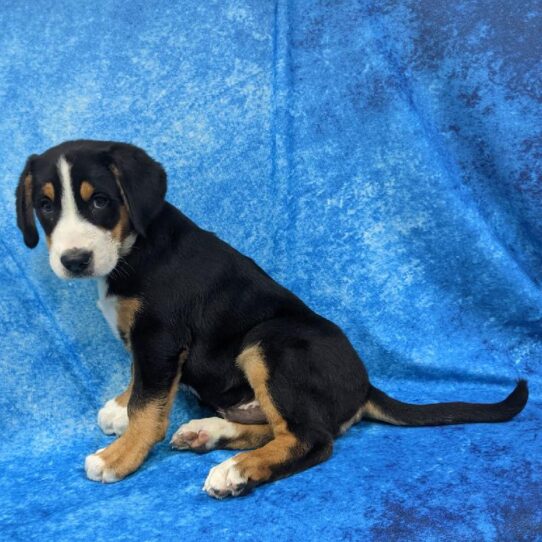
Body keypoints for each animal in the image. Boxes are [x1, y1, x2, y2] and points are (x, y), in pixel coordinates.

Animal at [15, 141, 532, 502]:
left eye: (101, 201)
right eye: (46, 206)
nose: (74, 260)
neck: (134, 248)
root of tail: (364, 385)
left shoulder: (160, 336)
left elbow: (151, 404)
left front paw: (120, 456)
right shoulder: (147, 343)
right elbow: (142, 383)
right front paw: (120, 407)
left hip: (270, 341)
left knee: (312, 438)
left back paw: (237, 470)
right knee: (283, 426)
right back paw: (210, 434)